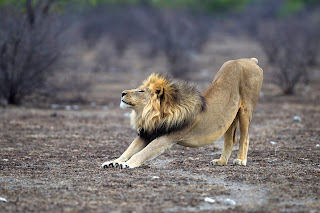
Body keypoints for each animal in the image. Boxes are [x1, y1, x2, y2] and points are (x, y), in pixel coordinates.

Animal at [102, 57, 262, 168]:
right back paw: (221, 161)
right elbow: (129, 150)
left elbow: (143, 153)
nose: (122, 93)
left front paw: (127, 164)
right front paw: (114, 162)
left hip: (246, 109)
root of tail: (250, 60)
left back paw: (240, 160)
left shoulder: (168, 137)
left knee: (245, 137)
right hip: (230, 117)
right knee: (230, 139)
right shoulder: (147, 133)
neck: (148, 115)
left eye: (141, 91)